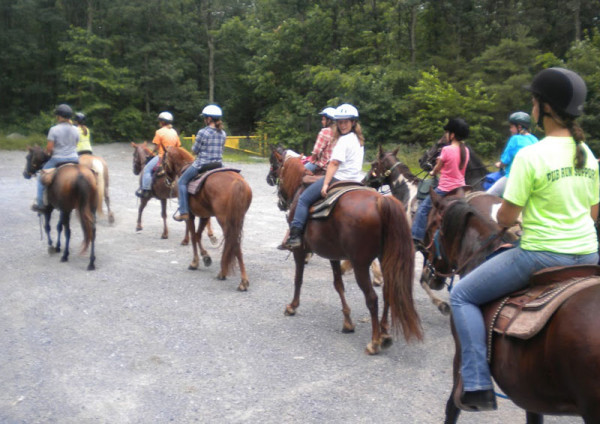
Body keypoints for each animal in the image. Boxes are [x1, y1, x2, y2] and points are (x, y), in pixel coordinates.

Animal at [162, 146, 253, 292]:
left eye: (163, 161)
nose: (167, 180)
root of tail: (237, 182)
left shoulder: (190, 216)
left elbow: (193, 236)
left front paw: (195, 262)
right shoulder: (205, 216)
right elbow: (198, 235)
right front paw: (206, 257)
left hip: (225, 220)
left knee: (234, 243)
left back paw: (241, 281)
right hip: (238, 220)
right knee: (234, 243)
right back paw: (228, 274)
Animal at [264, 147, 424, 352]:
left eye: (274, 166)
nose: (269, 180)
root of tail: (380, 202)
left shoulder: (299, 251)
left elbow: (298, 278)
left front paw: (292, 306)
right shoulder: (333, 255)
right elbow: (338, 284)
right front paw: (347, 321)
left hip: (361, 264)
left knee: (372, 298)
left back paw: (374, 341)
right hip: (384, 258)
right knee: (388, 291)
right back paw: (384, 333)